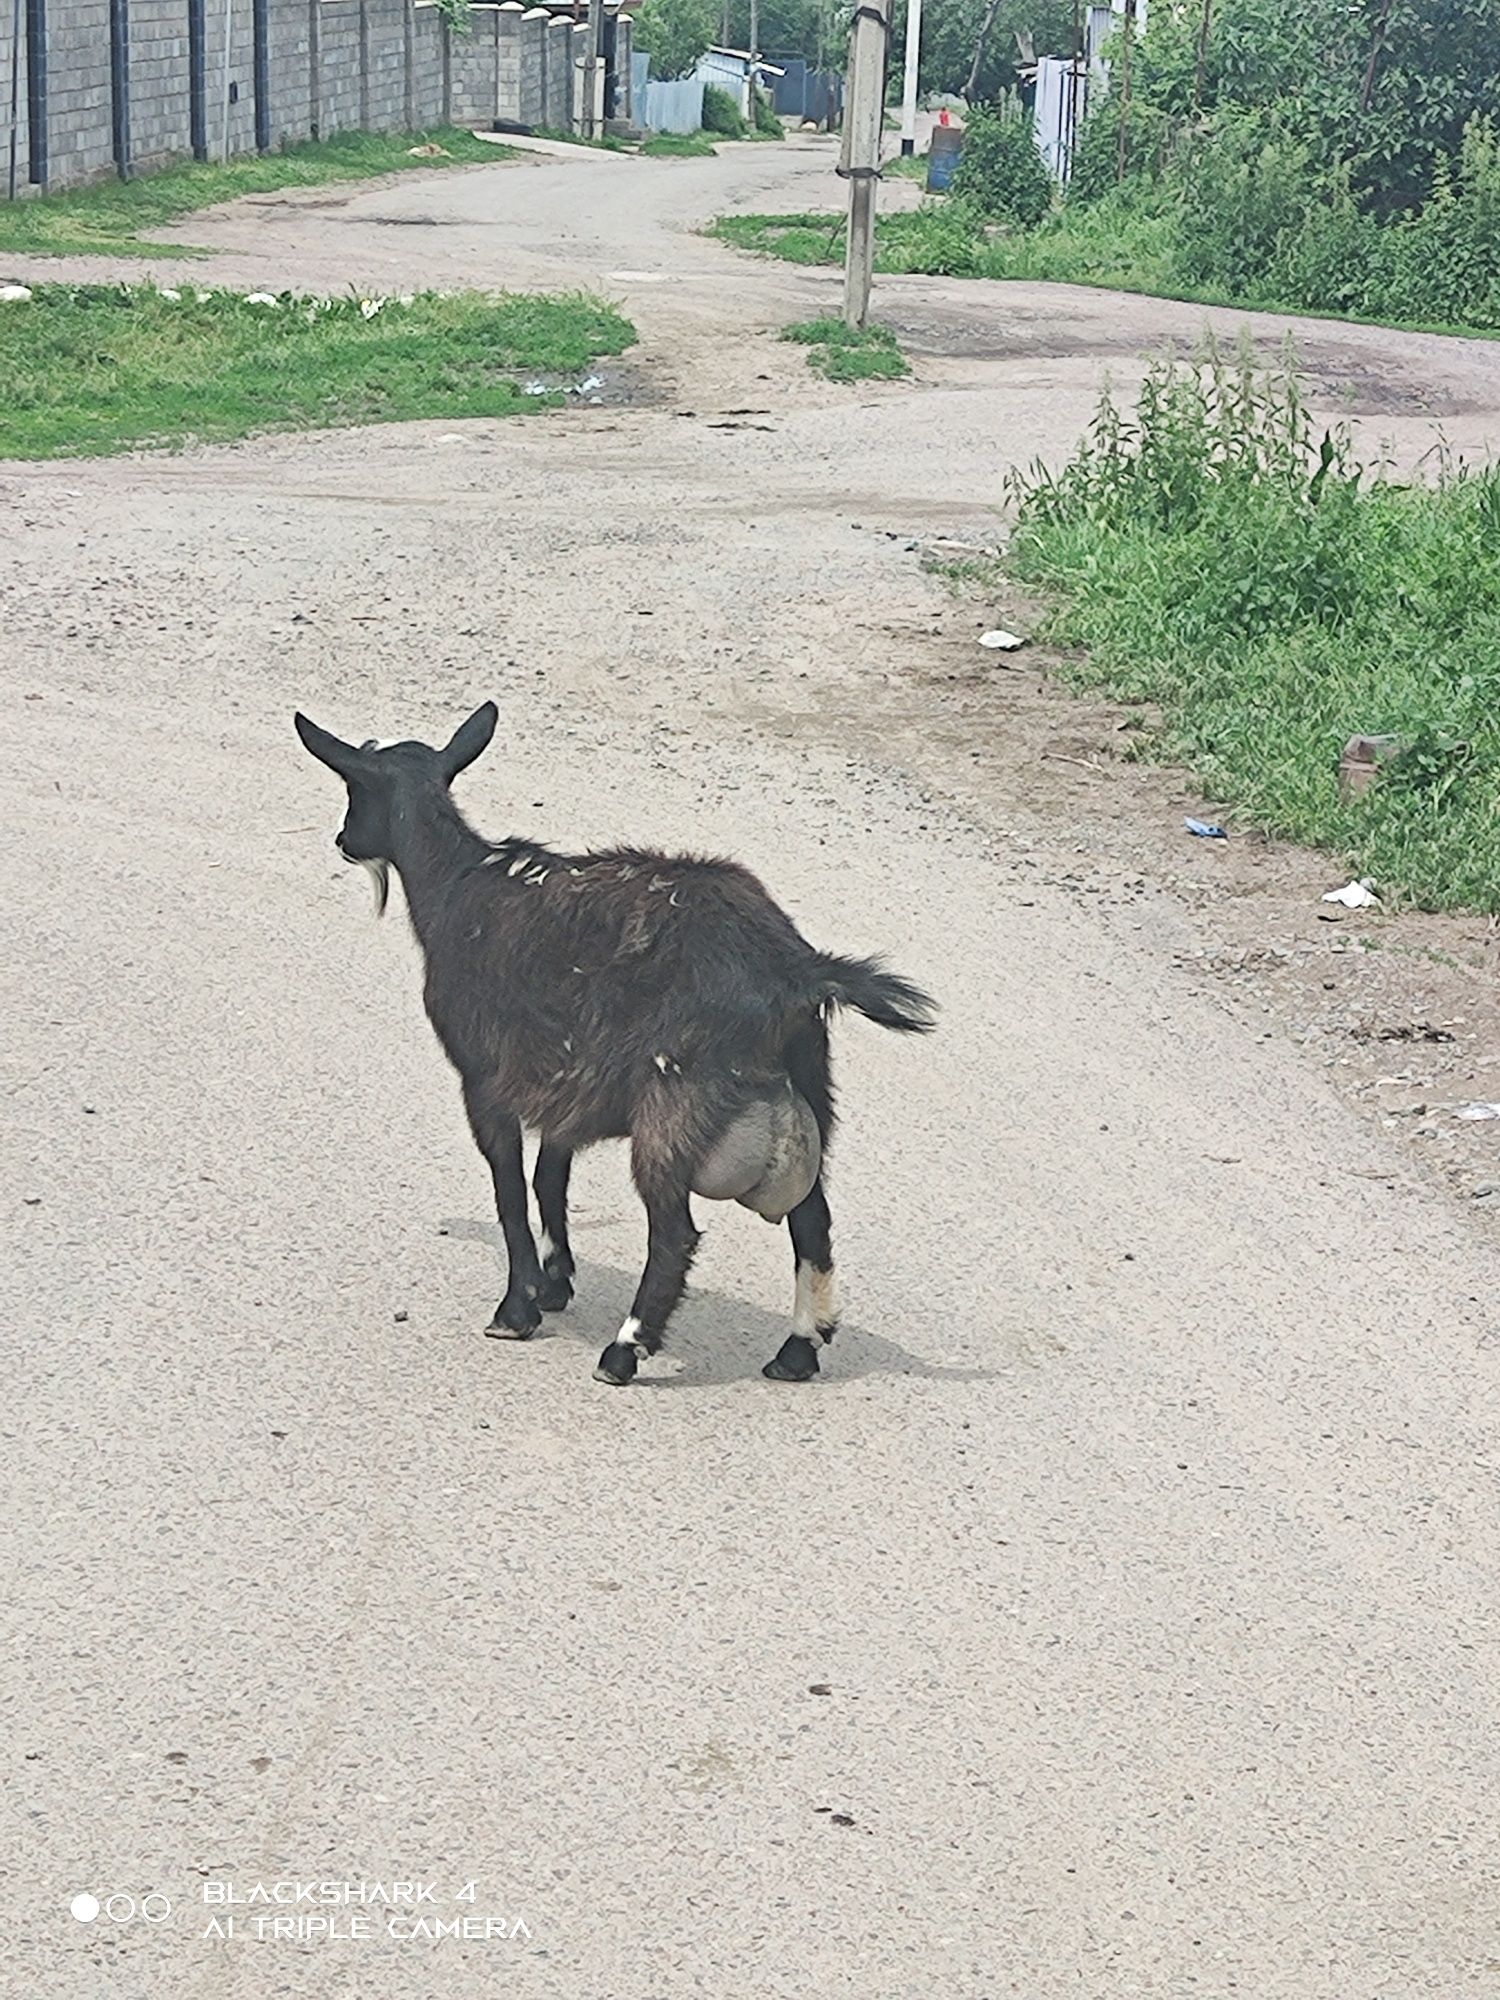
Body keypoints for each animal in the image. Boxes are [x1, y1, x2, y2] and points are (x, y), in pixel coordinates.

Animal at [294, 708, 936, 1392]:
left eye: (353, 788)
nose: (342, 840)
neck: (459, 887)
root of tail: (795, 969)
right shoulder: (565, 1081)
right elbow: (549, 1176)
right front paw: (555, 1283)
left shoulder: (485, 1079)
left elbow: (510, 1189)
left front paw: (517, 1308)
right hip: (810, 1086)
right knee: (812, 1219)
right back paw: (797, 1351)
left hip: (676, 1101)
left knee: (676, 1232)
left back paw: (625, 1349)